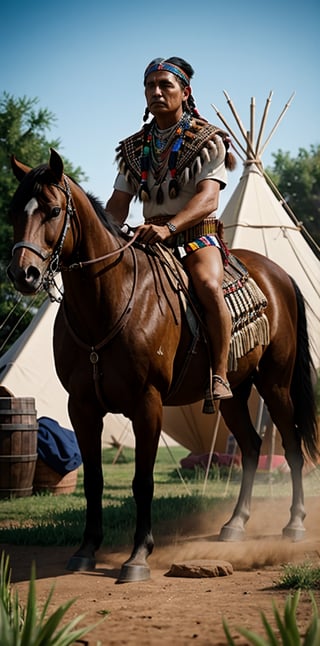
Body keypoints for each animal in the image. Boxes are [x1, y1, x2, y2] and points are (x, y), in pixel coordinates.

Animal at [7, 153, 318, 588]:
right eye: (15, 210)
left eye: (52, 210)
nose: (24, 274)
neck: (108, 302)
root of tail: (280, 276)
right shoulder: (81, 408)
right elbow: (94, 480)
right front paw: (86, 549)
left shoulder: (147, 404)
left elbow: (143, 481)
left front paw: (138, 556)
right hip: (233, 393)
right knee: (253, 446)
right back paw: (235, 524)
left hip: (275, 384)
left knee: (290, 446)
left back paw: (294, 523)